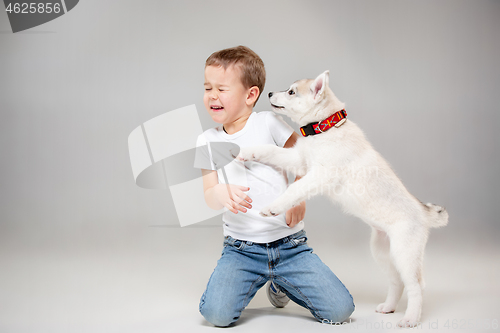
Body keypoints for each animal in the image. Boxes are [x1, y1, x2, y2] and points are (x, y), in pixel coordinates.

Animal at [237, 70, 450, 326]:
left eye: (291, 92)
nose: (268, 93)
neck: (324, 130)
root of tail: (422, 211)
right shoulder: (300, 161)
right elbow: (271, 151)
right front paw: (247, 151)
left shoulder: (320, 174)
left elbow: (294, 190)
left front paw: (274, 207)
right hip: (382, 251)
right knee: (397, 282)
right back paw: (389, 307)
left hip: (405, 253)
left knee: (417, 285)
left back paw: (411, 318)